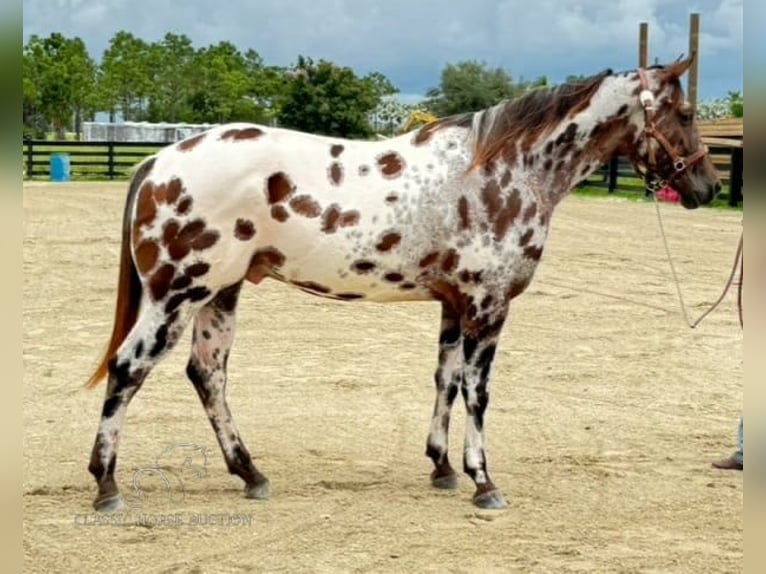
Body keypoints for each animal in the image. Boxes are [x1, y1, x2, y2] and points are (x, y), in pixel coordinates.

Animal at [84, 57, 720, 512]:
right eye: (687, 113)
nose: (710, 186)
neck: (505, 171)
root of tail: (160, 161)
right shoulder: (488, 306)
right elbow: (478, 392)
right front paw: (483, 481)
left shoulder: (454, 305)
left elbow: (445, 381)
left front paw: (441, 467)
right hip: (177, 295)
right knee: (129, 367)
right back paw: (107, 485)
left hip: (221, 294)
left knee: (207, 375)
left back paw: (250, 473)